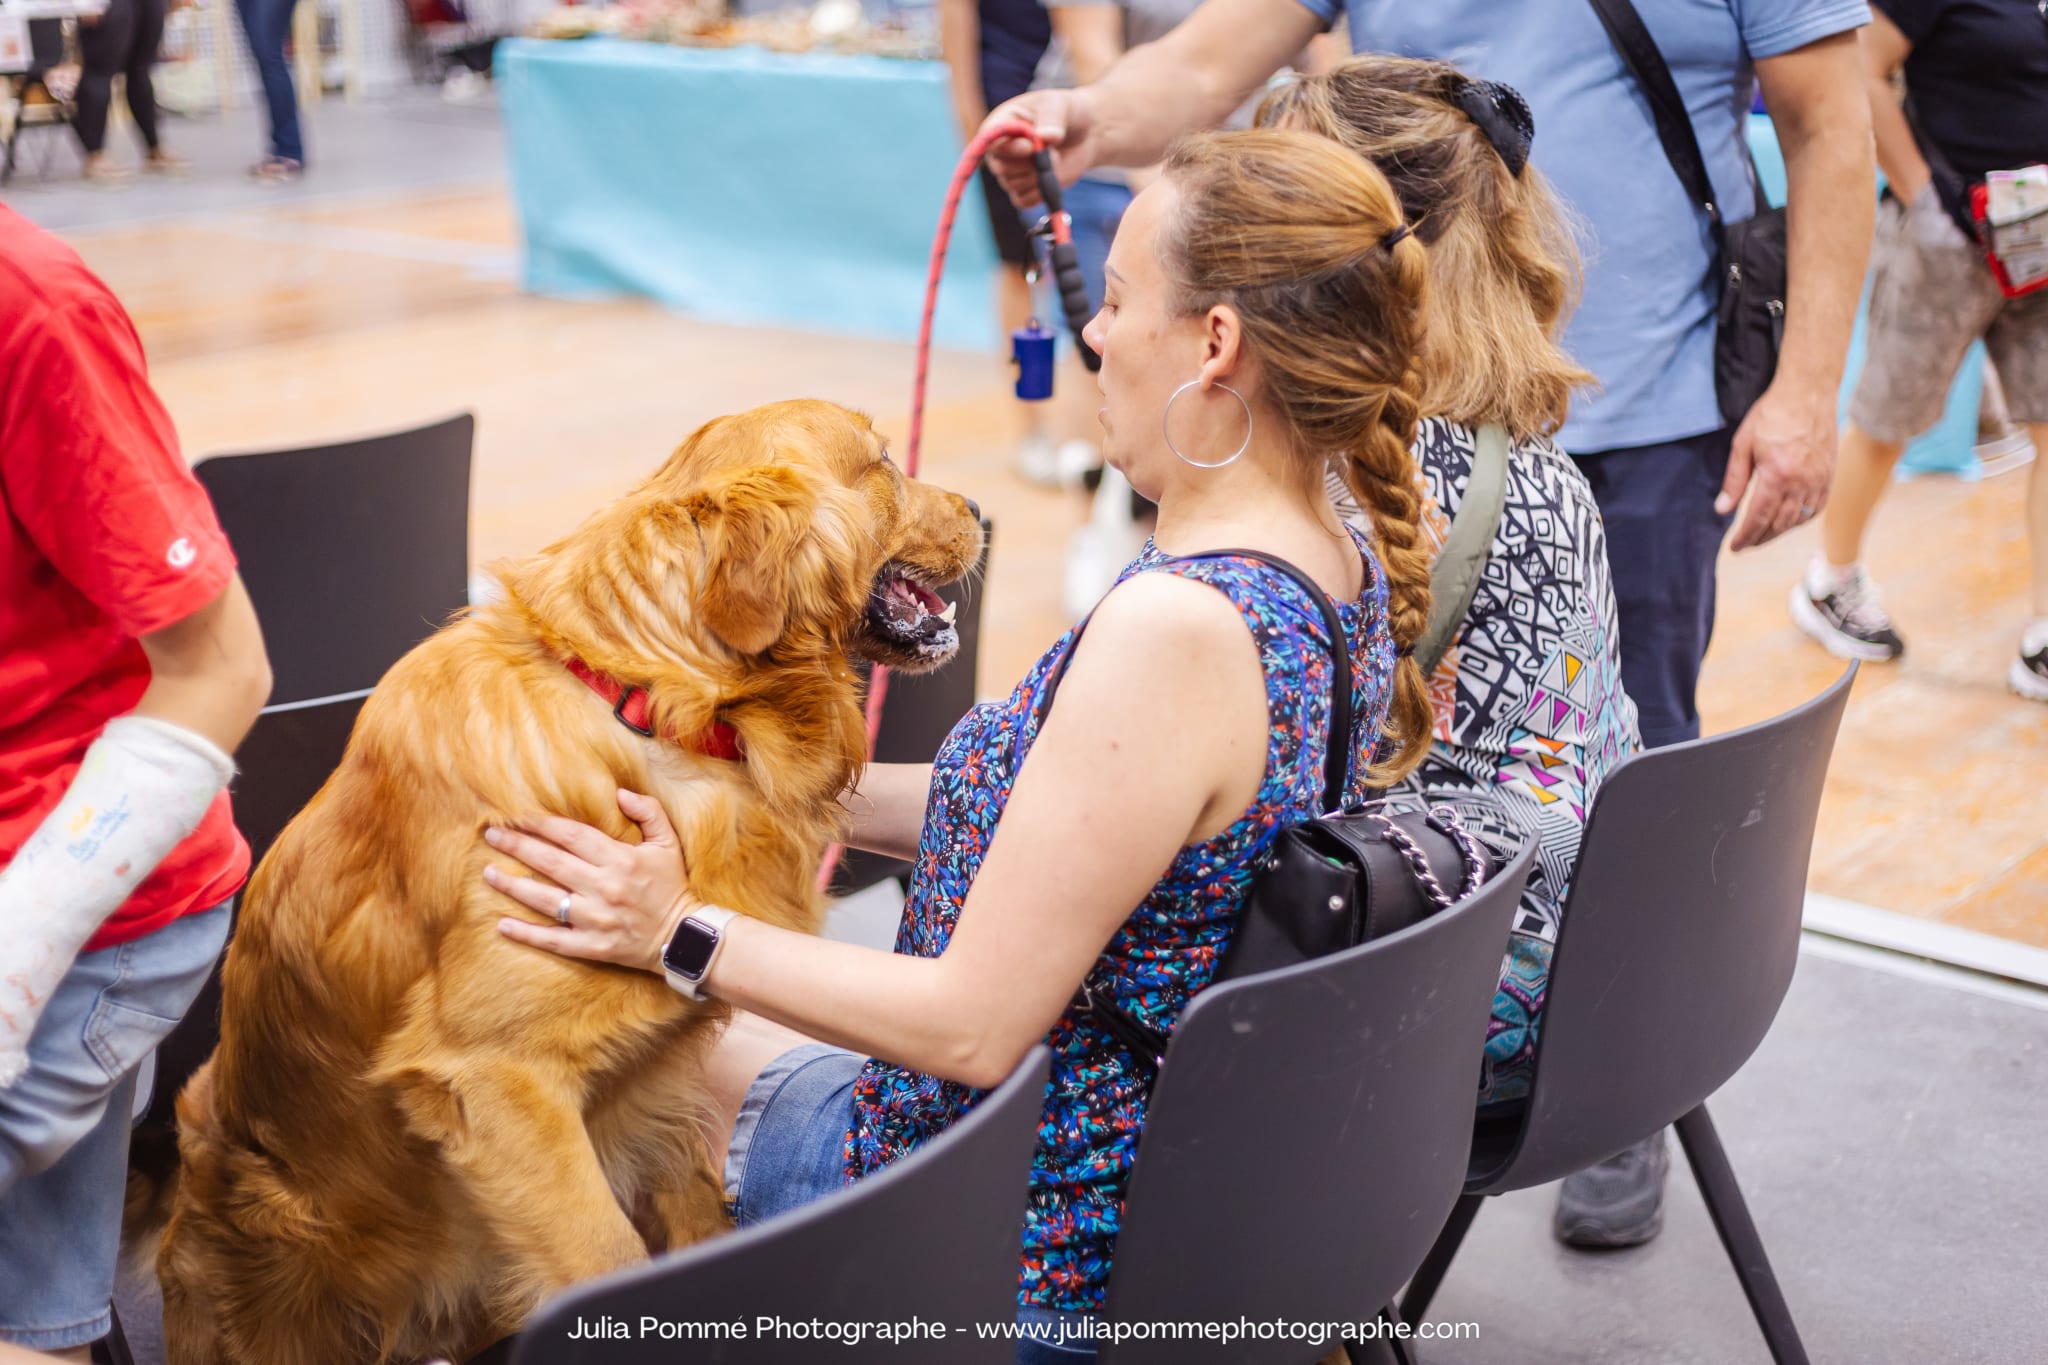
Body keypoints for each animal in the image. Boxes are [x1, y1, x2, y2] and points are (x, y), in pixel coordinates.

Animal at [153, 401, 983, 1358]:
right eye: (882, 461)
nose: (979, 507)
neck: (650, 696)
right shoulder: (495, 1080)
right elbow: (606, 1256)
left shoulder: (648, 1086)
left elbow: (686, 1225)